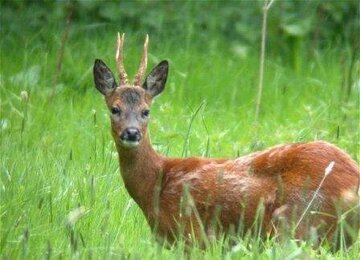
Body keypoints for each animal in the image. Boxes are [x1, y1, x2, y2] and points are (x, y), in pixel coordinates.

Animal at [93, 33, 360, 247]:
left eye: (146, 111)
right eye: (115, 109)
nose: (131, 133)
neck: (156, 185)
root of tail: (353, 180)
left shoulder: (190, 235)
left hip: (298, 225)